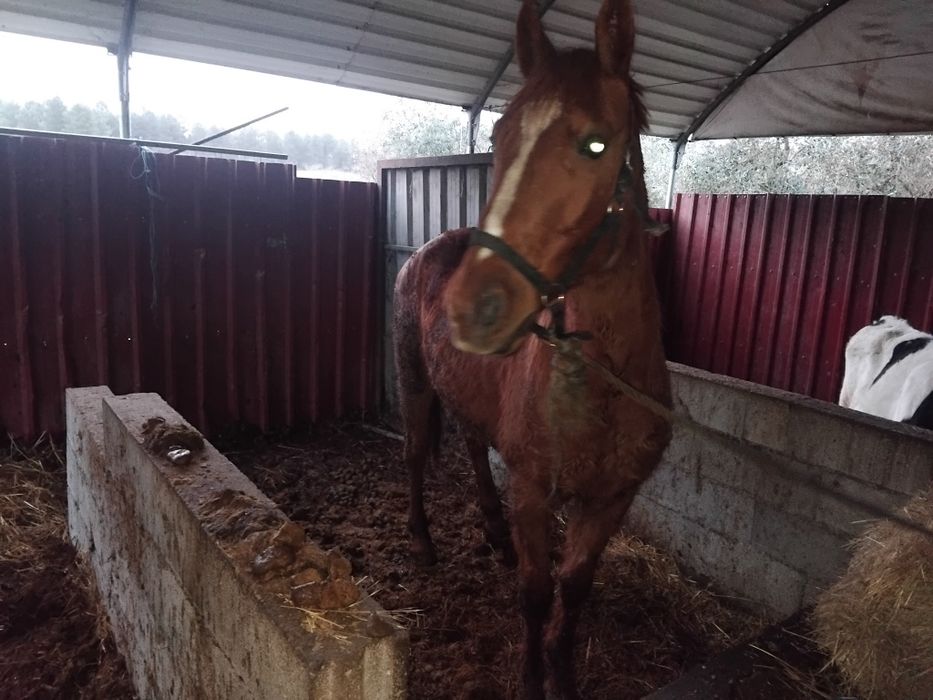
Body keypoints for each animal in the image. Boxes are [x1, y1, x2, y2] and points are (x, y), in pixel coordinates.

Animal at [392, 0, 672, 696]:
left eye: (596, 143)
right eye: (498, 138)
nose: (471, 306)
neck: (601, 381)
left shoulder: (611, 500)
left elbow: (574, 589)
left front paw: (564, 673)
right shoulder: (532, 491)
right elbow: (536, 593)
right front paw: (530, 678)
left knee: (470, 442)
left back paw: (492, 533)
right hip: (413, 382)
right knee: (413, 454)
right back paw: (424, 543)